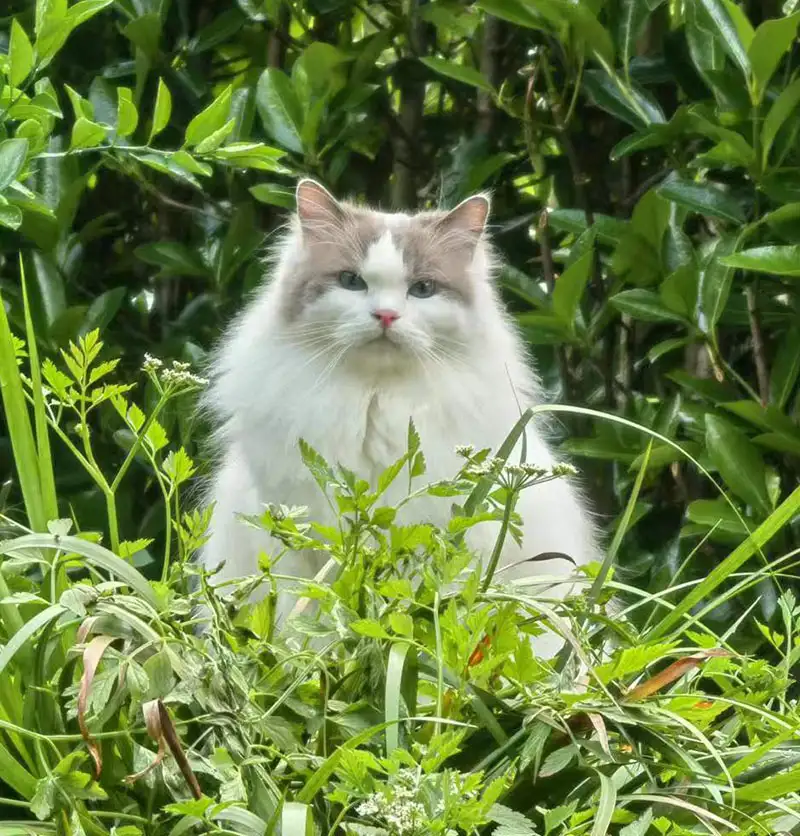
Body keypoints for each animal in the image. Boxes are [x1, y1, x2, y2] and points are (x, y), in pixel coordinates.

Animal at [203, 181, 596, 652]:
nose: (386, 315)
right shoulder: (302, 546)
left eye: (422, 289)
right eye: (351, 282)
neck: (376, 401)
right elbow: (306, 628)